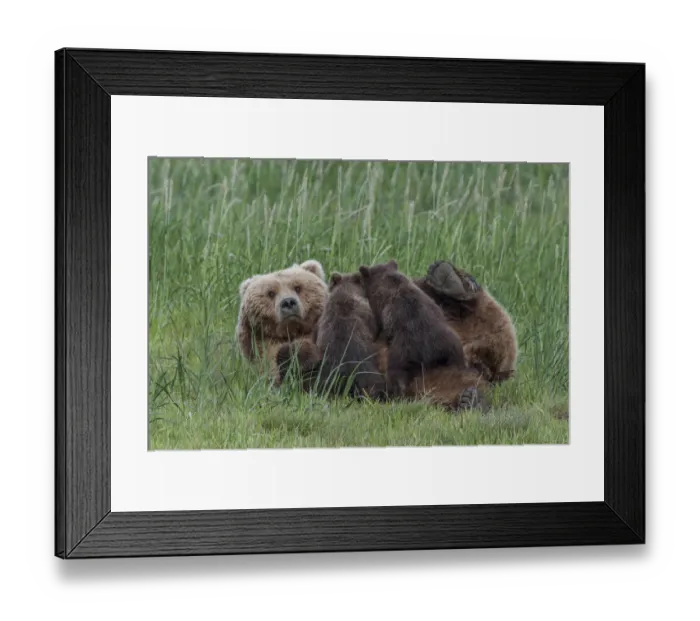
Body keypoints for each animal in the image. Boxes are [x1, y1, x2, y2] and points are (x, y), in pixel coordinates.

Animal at [358, 260, 467, 399]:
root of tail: (429, 353)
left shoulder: (380, 305)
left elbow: (378, 323)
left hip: (403, 350)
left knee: (396, 373)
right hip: (451, 344)